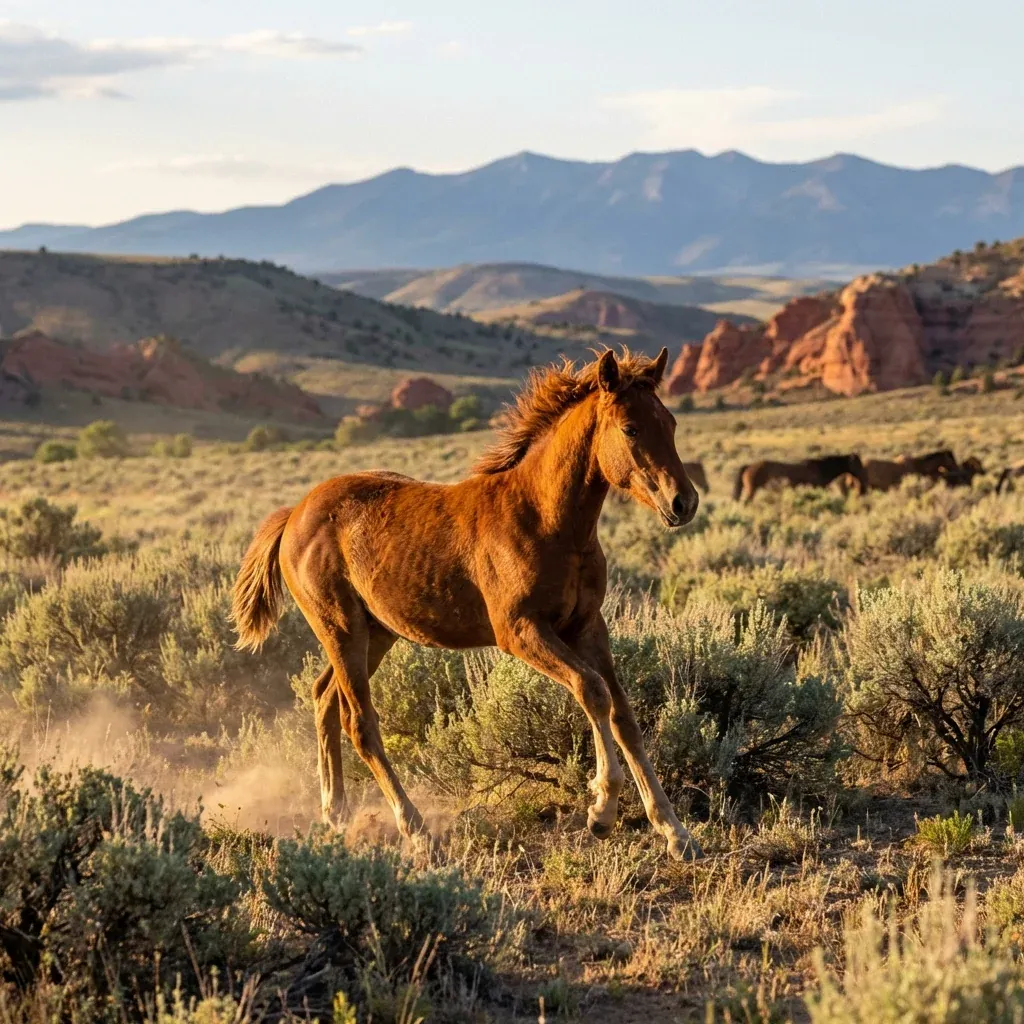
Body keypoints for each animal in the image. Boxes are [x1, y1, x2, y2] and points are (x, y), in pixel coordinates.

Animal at [232, 349, 703, 860]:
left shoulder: (587, 627)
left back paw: (334, 815)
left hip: (375, 633)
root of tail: (294, 513)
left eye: (671, 422)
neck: (545, 519)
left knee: (324, 699)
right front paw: (601, 811)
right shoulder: (520, 632)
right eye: (630, 428)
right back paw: (415, 829)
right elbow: (592, 690)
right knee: (361, 724)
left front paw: (675, 832)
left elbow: (623, 714)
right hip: (340, 628)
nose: (684, 502)